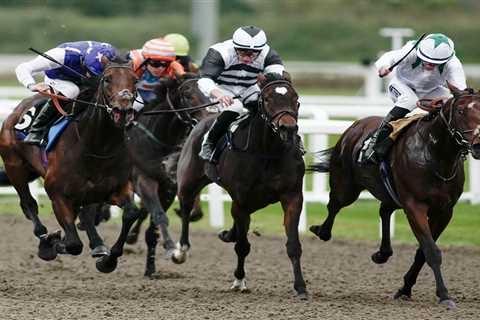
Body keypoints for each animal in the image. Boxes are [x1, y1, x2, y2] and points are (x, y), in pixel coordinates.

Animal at [0, 56, 137, 264]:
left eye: (135, 80)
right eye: (107, 79)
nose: (123, 109)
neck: (97, 147)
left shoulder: (115, 188)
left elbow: (130, 213)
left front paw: (108, 259)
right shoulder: (56, 193)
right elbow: (73, 244)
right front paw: (51, 243)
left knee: (86, 214)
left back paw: (97, 244)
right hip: (14, 167)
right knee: (29, 204)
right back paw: (44, 237)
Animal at [172, 72, 308, 298]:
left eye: (296, 99)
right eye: (267, 99)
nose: (287, 128)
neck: (267, 152)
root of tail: (205, 118)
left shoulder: (292, 197)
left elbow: (293, 245)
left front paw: (301, 287)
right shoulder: (242, 200)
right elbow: (243, 246)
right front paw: (239, 279)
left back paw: (228, 233)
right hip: (188, 183)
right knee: (185, 210)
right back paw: (181, 251)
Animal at [308, 84, 480, 308]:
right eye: (460, 111)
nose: (478, 145)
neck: (435, 155)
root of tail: (355, 125)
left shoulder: (444, 211)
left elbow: (422, 251)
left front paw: (406, 288)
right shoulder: (415, 206)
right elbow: (431, 251)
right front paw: (444, 295)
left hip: (391, 194)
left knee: (384, 210)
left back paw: (382, 253)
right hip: (346, 187)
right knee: (334, 206)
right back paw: (321, 230)